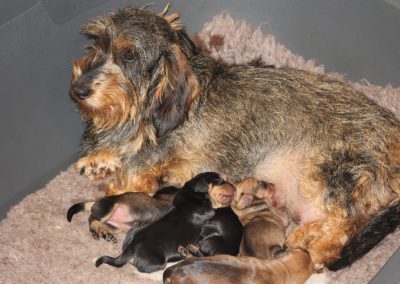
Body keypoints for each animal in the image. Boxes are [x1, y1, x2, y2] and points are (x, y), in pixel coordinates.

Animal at [95, 172, 242, 274]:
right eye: (219, 181)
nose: (235, 188)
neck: (192, 194)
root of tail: (131, 248)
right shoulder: (209, 209)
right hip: (162, 261)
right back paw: (186, 251)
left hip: (134, 231)